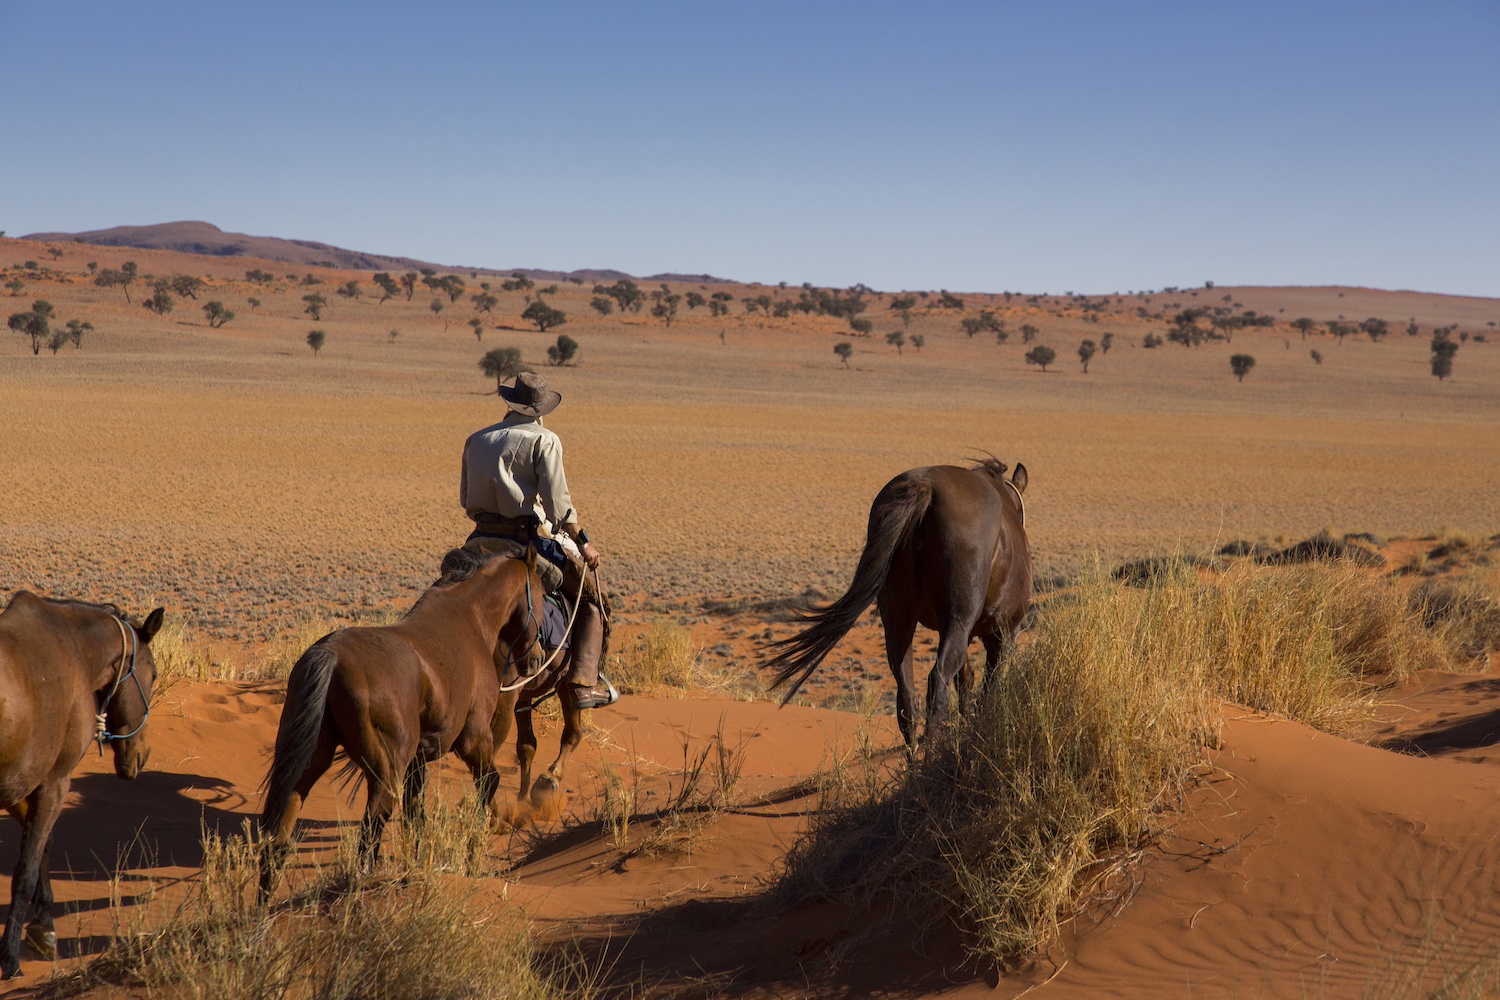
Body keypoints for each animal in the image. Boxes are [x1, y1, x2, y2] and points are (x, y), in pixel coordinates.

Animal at [0, 593, 164, 977]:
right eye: (153, 673)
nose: (142, 754)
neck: (74, 648)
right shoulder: (54, 781)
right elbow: (25, 871)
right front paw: (11, 959)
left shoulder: (22, 787)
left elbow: (43, 848)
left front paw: (44, 928)